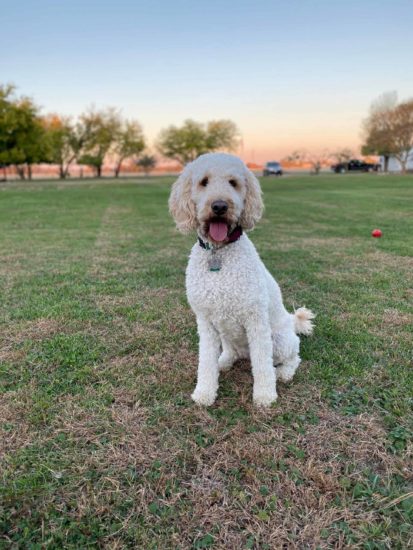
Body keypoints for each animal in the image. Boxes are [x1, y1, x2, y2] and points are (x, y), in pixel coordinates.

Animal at [167, 153, 312, 408]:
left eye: (233, 182)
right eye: (203, 182)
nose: (219, 206)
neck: (219, 253)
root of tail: (292, 321)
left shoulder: (256, 320)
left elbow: (263, 365)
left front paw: (264, 396)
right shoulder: (205, 321)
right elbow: (205, 361)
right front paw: (204, 393)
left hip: (280, 340)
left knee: (293, 357)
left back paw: (284, 373)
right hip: (226, 335)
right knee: (231, 353)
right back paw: (224, 361)